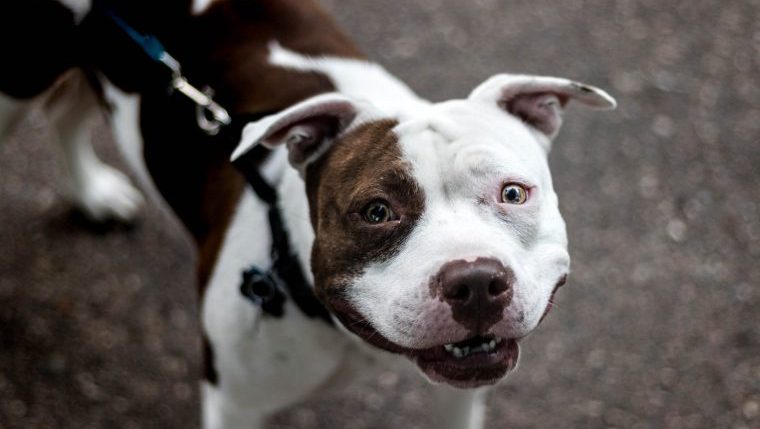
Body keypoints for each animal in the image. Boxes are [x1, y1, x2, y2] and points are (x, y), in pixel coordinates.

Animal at [0, 0, 616, 428]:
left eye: (513, 193)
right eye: (376, 212)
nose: (477, 282)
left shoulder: (460, 396)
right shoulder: (234, 402)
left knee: (67, 106)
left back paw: (91, 192)